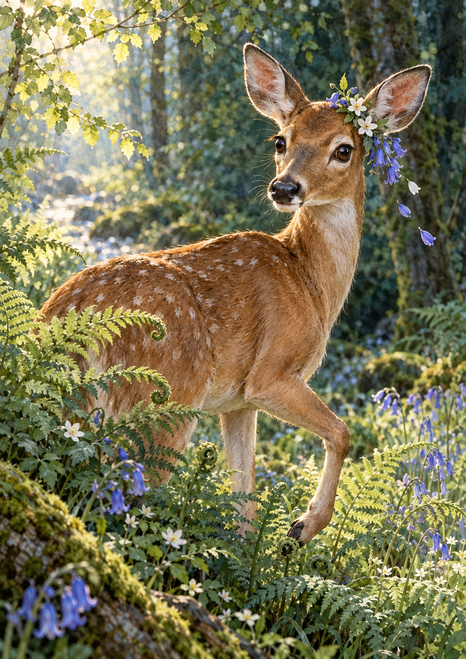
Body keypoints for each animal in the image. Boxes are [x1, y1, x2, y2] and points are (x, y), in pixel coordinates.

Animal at [41, 44, 431, 545]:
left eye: (344, 149)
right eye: (281, 141)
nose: (284, 187)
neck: (311, 282)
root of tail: (69, 326)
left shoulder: (239, 402)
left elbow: (244, 495)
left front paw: (254, 548)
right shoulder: (272, 372)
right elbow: (342, 432)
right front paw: (302, 526)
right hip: (166, 395)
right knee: (126, 495)